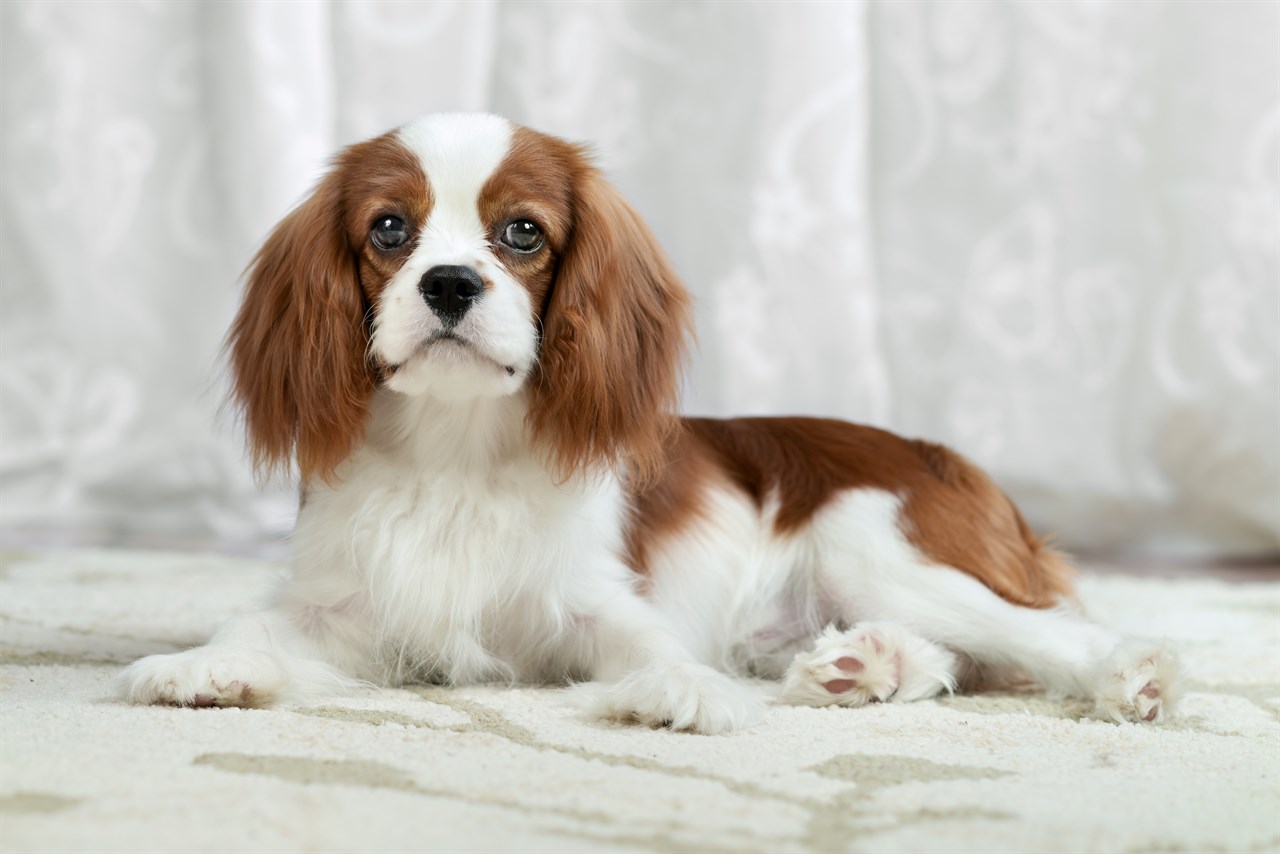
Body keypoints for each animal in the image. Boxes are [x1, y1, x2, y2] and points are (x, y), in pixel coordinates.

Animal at [120, 110, 1177, 732]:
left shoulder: (601, 603)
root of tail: (942, 457)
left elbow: (657, 650)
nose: (450, 282)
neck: (458, 449)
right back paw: (859, 667)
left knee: (1050, 637)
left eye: (523, 232)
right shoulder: (342, 607)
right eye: (389, 228)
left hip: (874, 545)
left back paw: (1131, 681)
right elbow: (257, 628)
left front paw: (677, 692)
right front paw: (205, 667)